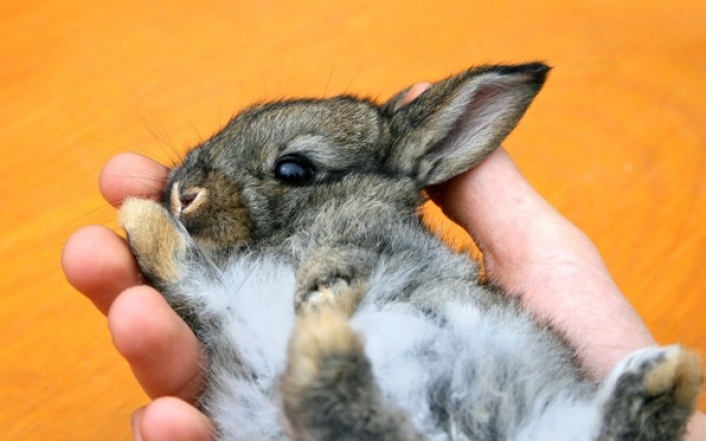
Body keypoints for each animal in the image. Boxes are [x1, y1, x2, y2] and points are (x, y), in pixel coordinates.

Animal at [121, 62, 700, 440]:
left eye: (293, 169)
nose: (184, 192)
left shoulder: (366, 241)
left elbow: (344, 257)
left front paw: (322, 287)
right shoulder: (215, 293)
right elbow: (173, 264)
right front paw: (136, 213)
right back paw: (659, 379)